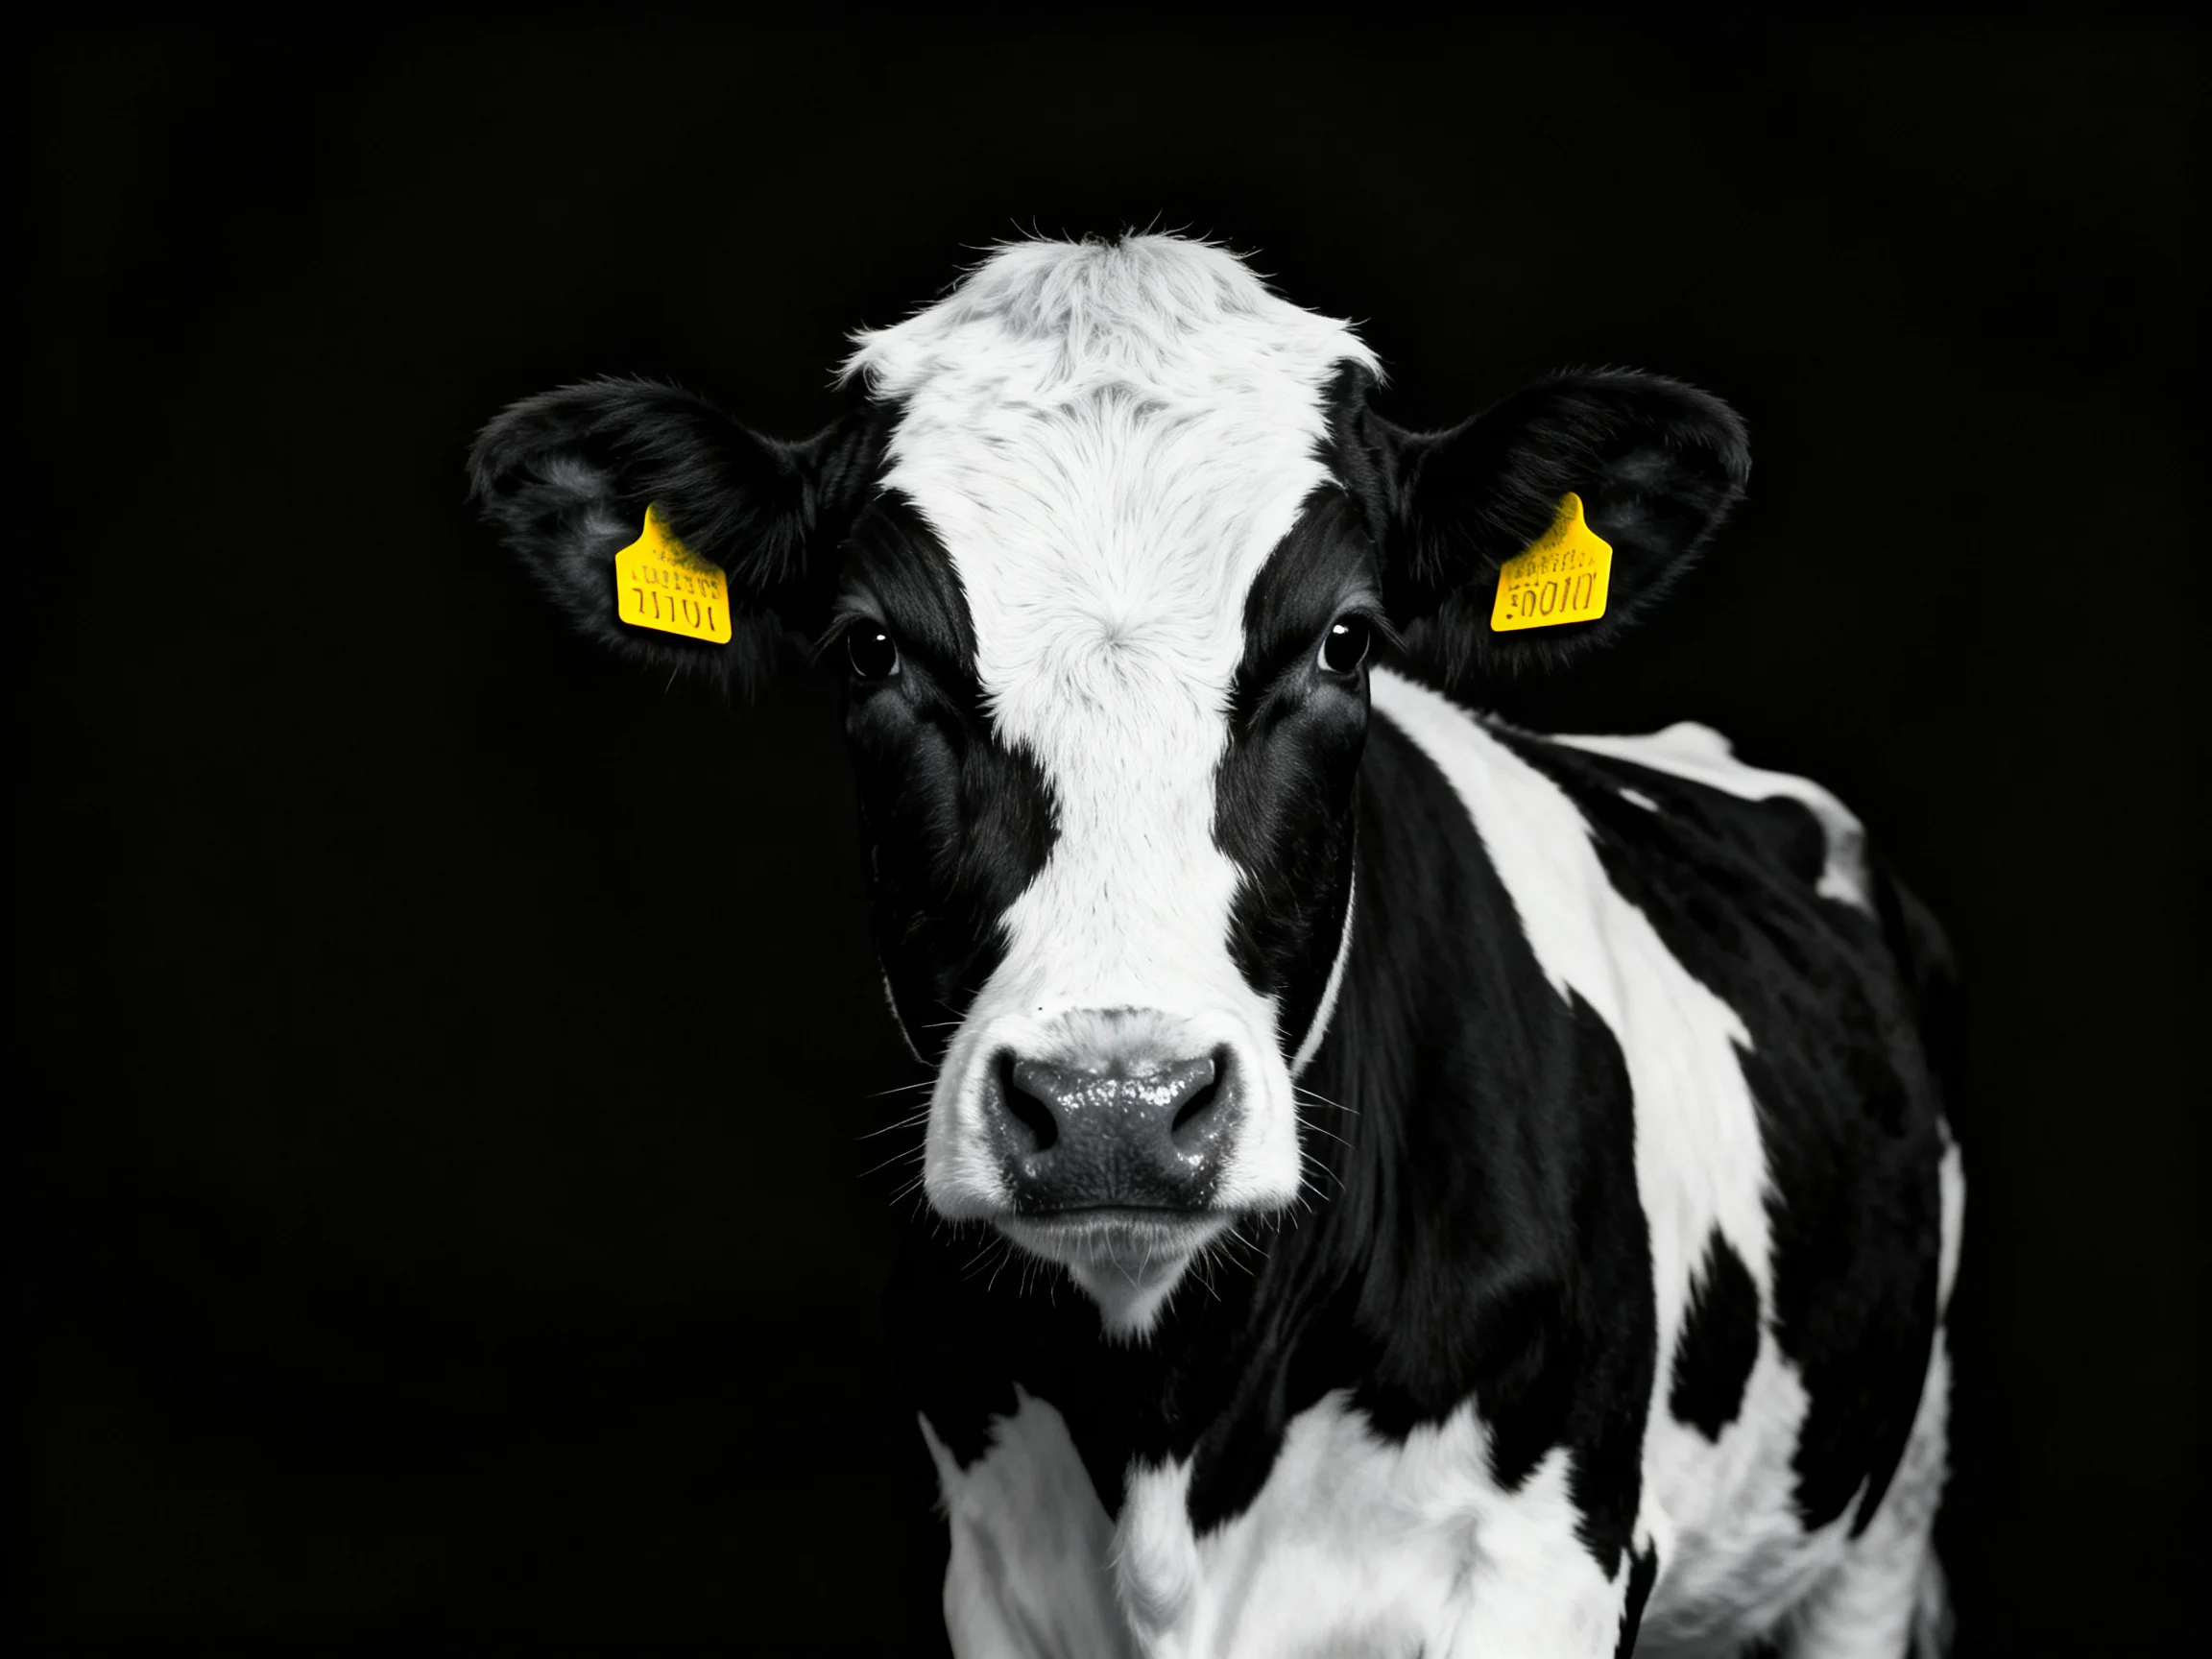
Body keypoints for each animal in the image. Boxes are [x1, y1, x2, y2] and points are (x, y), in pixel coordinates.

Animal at [470, 234, 1962, 1658]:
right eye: (869, 649)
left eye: (1347, 640)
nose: (1114, 1107)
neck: (1164, 1424)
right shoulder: (995, 1579)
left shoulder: (1548, 1567)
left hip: (1882, 1525)